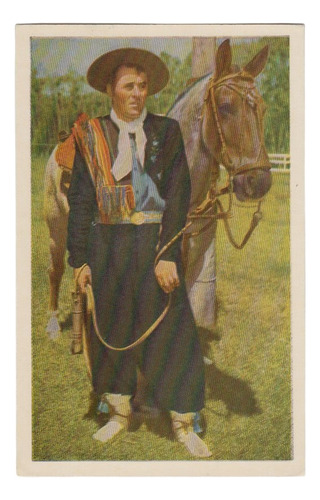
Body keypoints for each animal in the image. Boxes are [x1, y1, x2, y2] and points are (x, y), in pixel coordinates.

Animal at [43, 40, 272, 340]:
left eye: (263, 108)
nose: (259, 181)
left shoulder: (189, 259)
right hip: (57, 228)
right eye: (224, 107)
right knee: (56, 270)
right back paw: (53, 324)